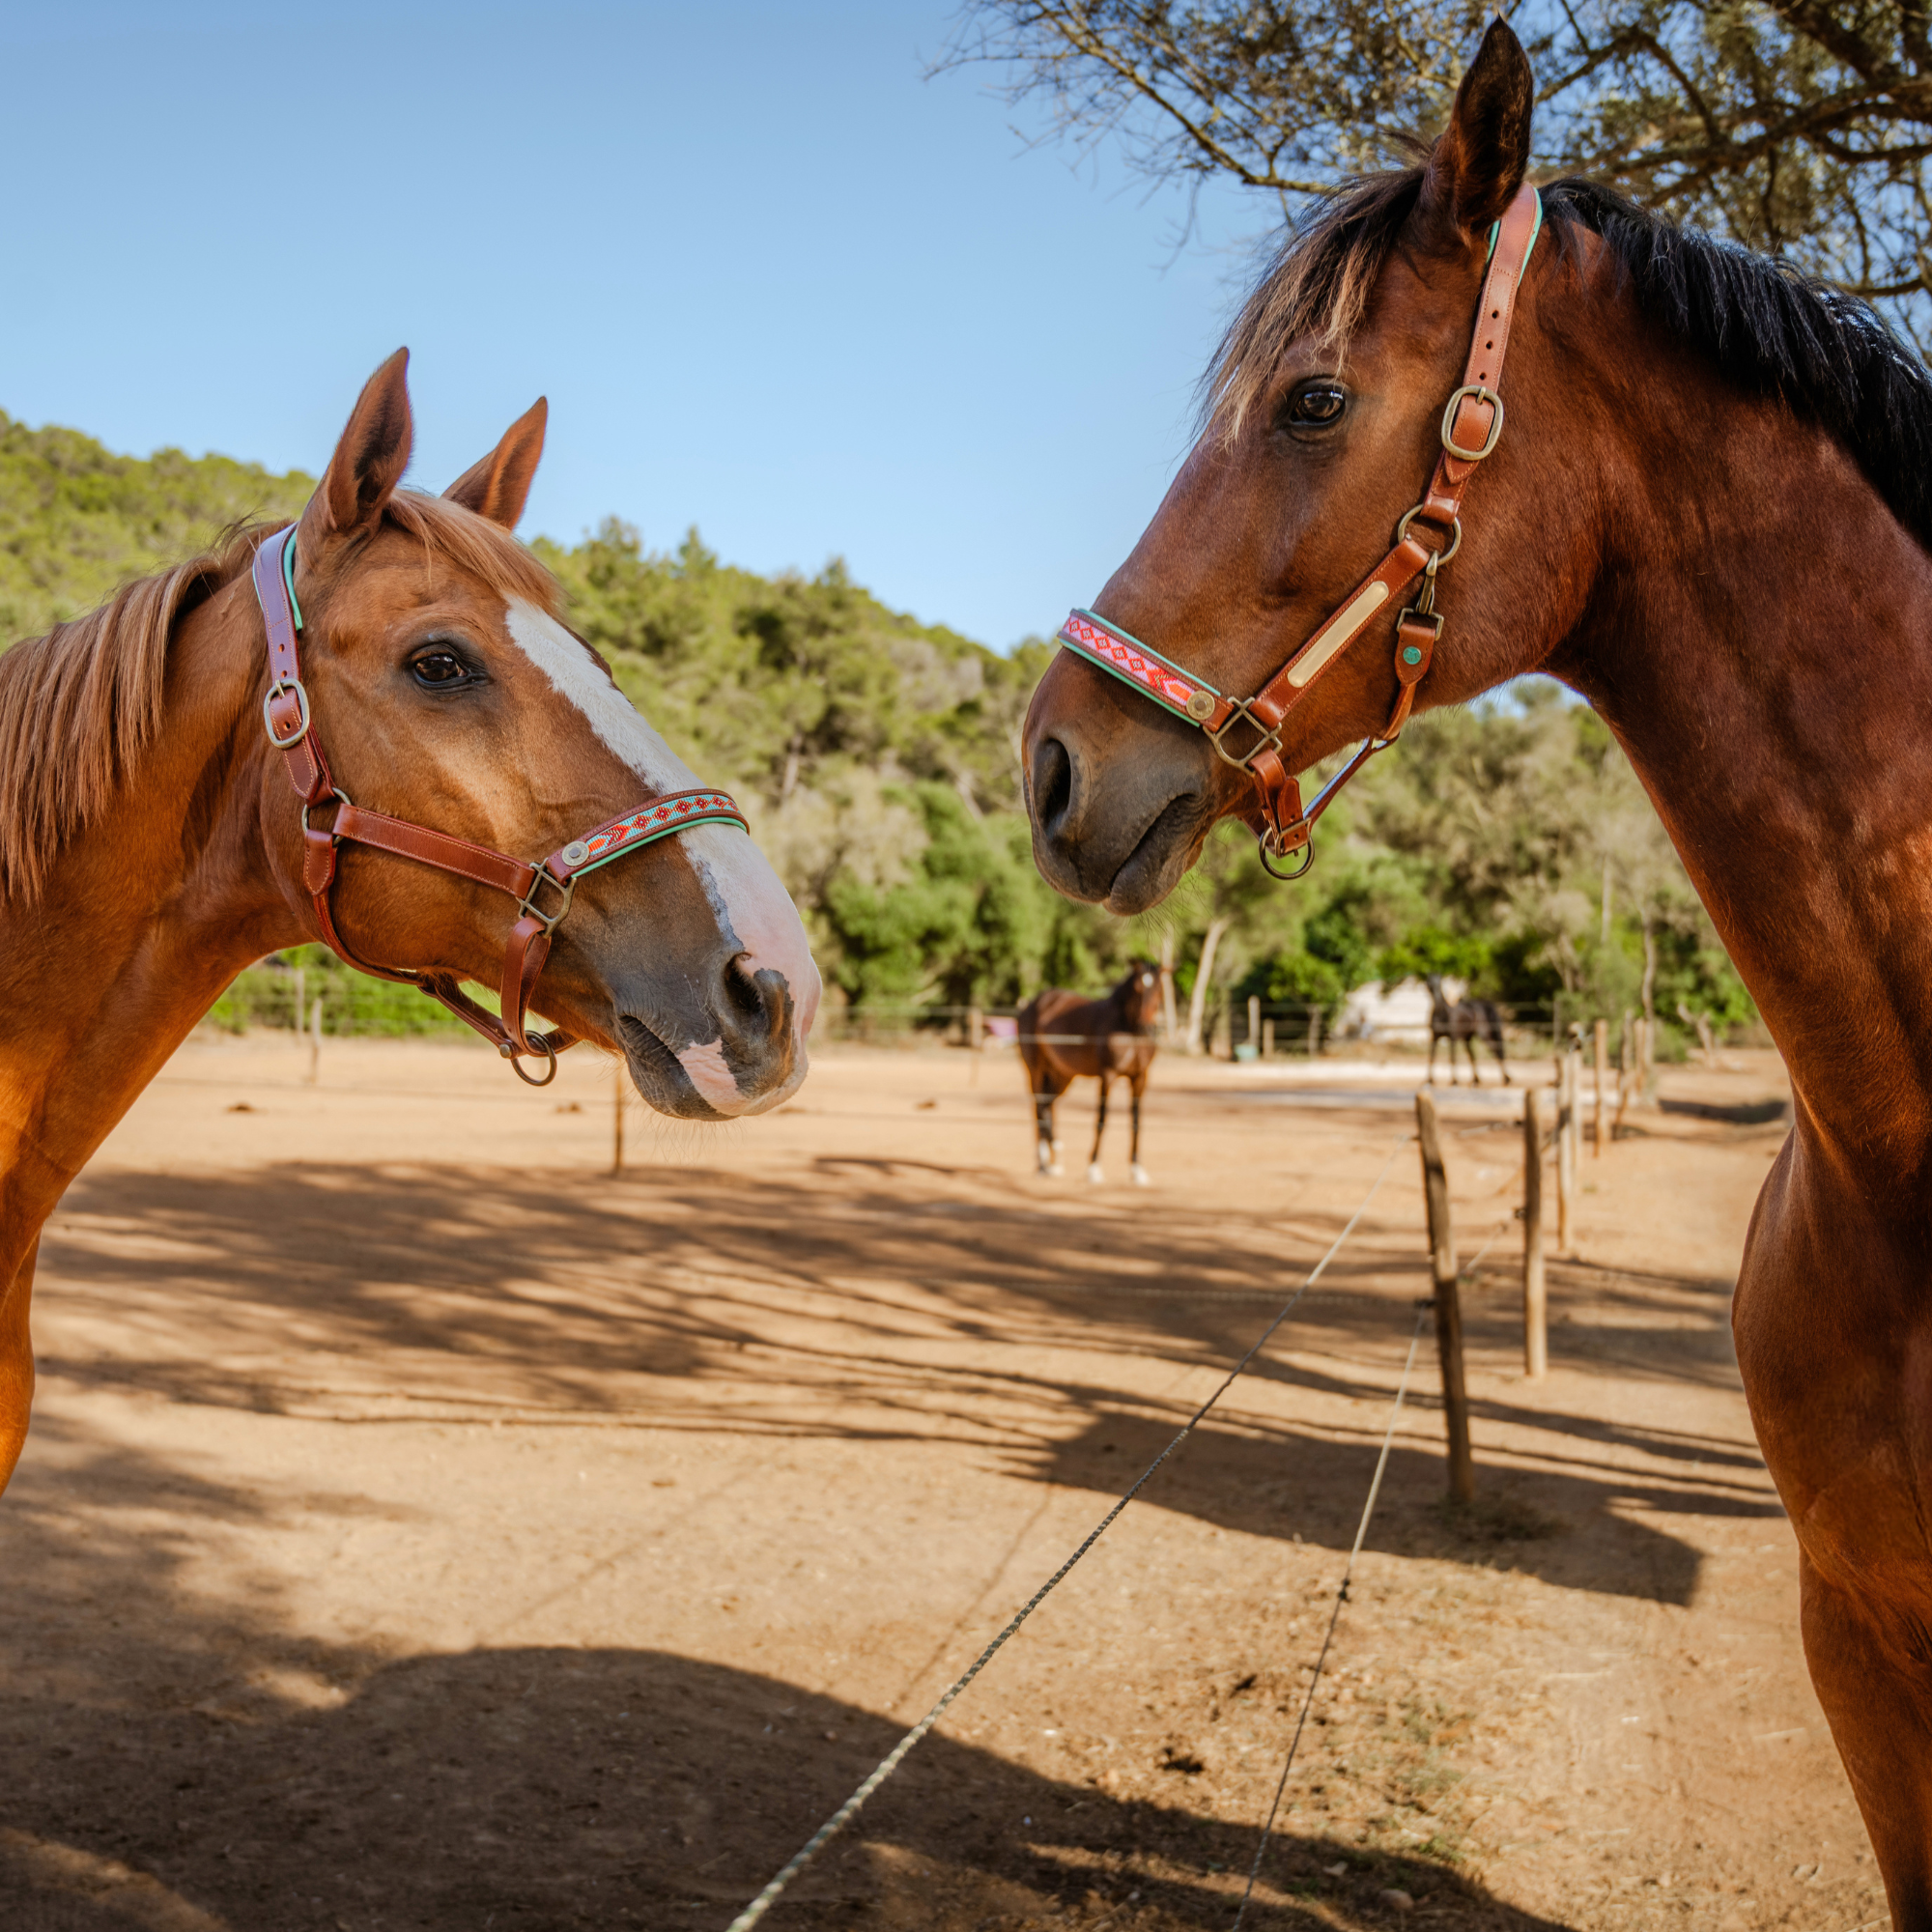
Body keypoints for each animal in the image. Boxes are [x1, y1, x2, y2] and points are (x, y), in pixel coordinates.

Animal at [1018, 960, 1161, 1184]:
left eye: (1158, 989)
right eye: (1137, 989)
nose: (1146, 1027)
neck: (1129, 1029)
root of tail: (1033, 1004)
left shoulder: (1140, 1077)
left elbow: (1136, 1122)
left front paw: (1137, 1170)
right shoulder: (1107, 1076)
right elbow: (1101, 1119)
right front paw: (1094, 1168)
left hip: (1061, 1075)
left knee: (1047, 1107)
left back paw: (1048, 1164)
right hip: (1036, 1071)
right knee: (1040, 1108)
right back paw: (1048, 1157)